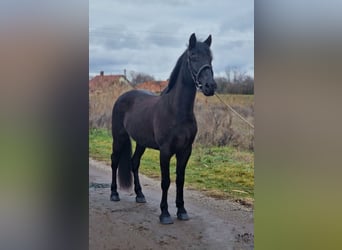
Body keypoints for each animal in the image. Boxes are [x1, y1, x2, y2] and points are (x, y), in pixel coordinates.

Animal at [109, 33, 216, 225]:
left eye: (210, 59)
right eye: (193, 56)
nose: (210, 86)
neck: (177, 111)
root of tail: (123, 96)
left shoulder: (185, 151)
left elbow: (180, 180)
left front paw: (181, 211)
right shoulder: (165, 151)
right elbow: (165, 181)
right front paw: (165, 213)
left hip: (141, 142)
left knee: (134, 162)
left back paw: (140, 195)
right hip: (119, 137)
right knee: (114, 161)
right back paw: (114, 193)